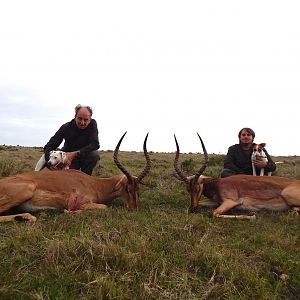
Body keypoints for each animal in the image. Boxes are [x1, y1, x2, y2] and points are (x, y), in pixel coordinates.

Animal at [0, 132, 151, 223]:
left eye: (138, 190)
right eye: (127, 188)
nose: (133, 209)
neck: (95, 185)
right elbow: (104, 207)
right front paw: (68, 211)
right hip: (26, 190)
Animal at [172, 134, 300, 216]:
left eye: (198, 188)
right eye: (188, 189)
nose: (192, 209)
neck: (218, 184)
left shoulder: (231, 202)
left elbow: (214, 213)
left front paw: (252, 215)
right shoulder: (216, 202)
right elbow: (202, 203)